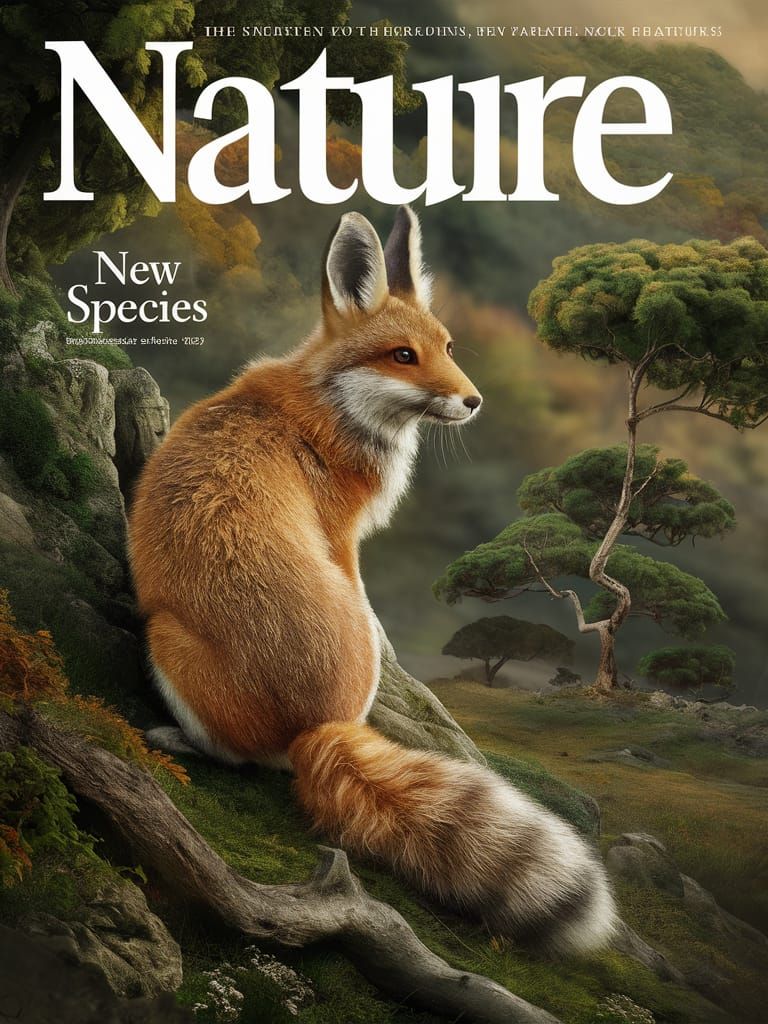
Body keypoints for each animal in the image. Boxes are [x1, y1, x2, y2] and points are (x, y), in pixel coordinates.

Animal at [128, 206, 617, 954]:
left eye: (447, 345)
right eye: (402, 357)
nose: (473, 401)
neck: (327, 406)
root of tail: (318, 728)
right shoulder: (343, 536)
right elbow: (363, 591)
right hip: (162, 637)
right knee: (242, 756)